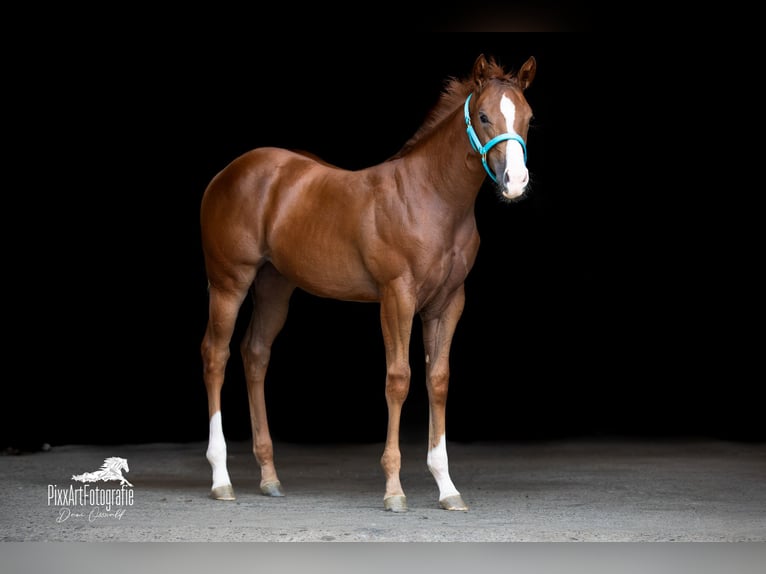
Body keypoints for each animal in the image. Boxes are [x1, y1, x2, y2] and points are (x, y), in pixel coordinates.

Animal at [200, 54, 536, 512]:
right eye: (484, 116)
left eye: (528, 118)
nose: (514, 182)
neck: (431, 198)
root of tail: (226, 174)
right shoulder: (397, 296)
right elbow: (399, 378)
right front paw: (394, 489)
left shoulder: (448, 302)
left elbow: (438, 380)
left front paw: (447, 487)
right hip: (229, 283)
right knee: (215, 356)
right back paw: (221, 478)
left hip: (274, 286)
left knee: (255, 355)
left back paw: (269, 476)